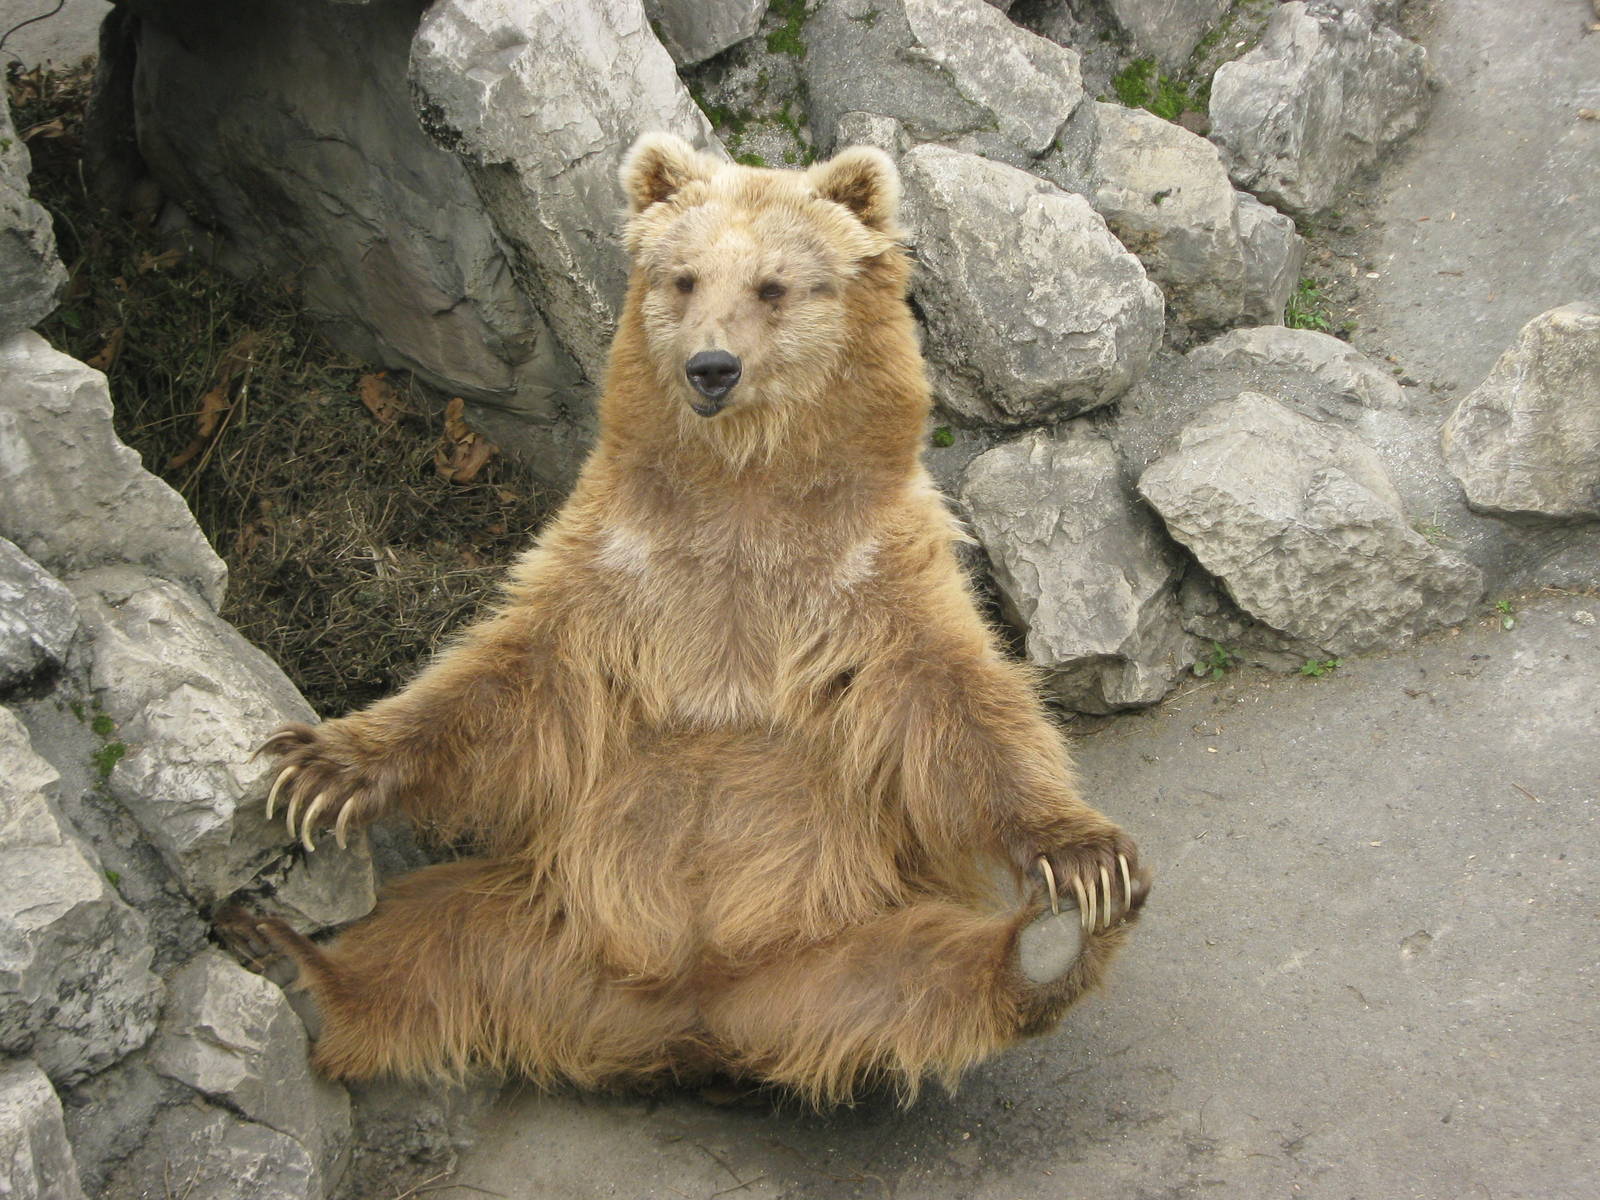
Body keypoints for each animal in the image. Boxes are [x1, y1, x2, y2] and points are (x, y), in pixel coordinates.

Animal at [226, 133, 1151, 1106]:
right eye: (683, 278)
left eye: (774, 286)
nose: (712, 367)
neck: (743, 483)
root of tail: (696, 1018)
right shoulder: (618, 562)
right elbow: (512, 683)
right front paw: (321, 766)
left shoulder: (871, 574)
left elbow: (955, 706)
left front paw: (1087, 858)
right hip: (547, 918)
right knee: (435, 936)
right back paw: (298, 968)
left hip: (842, 931)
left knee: (927, 974)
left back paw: (1051, 946)